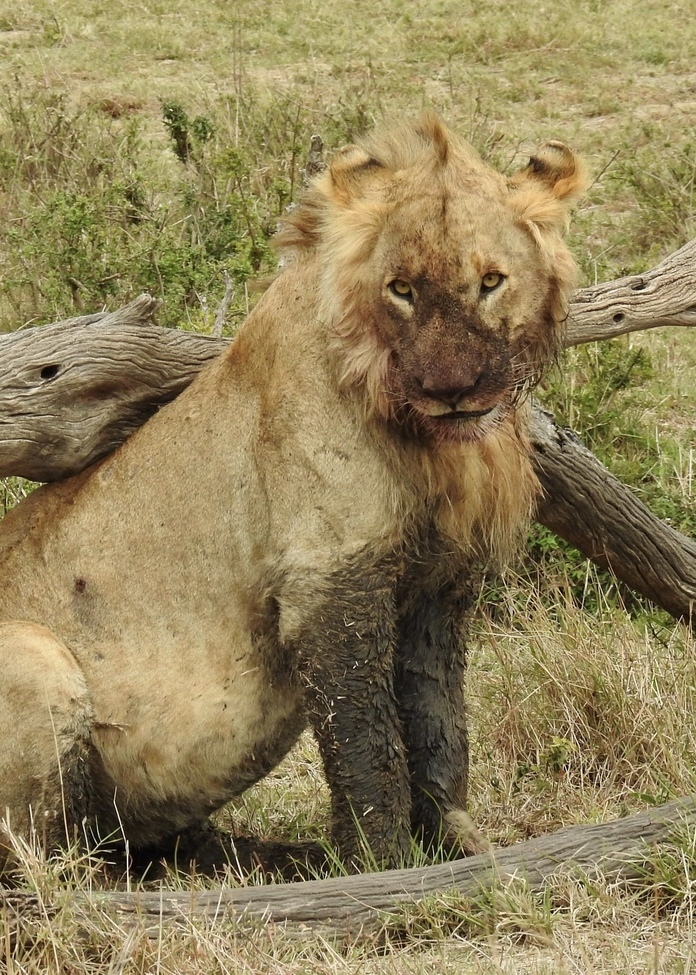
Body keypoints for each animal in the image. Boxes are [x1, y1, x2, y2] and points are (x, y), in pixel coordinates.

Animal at [0, 115, 585, 876]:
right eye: (401, 288)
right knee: (52, 866)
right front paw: (384, 866)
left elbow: (438, 724)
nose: (453, 391)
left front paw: (452, 842)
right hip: (37, 659)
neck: (425, 442)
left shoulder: (436, 584)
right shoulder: (328, 578)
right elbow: (367, 743)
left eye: (490, 281)